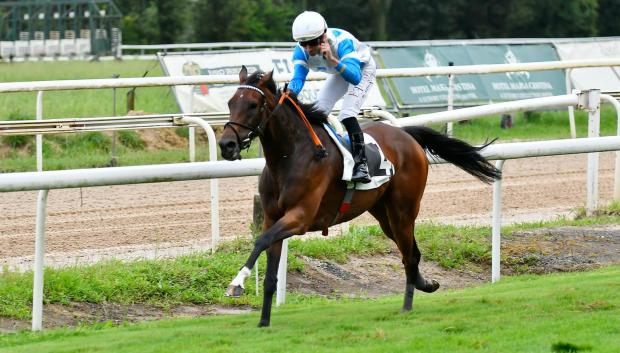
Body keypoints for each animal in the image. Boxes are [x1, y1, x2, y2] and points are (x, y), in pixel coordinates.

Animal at [217, 64, 498, 326]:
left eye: (253, 105)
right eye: (230, 102)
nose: (226, 145)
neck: (290, 157)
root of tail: (405, 134)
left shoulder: (300, 218)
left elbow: (260, 241)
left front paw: (236, 283)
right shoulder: (273, 217)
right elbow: (270, 270)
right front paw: (263, 321)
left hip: (403, 211)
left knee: (409, 255)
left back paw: (407, 306)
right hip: (384, 215)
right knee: (411, 252)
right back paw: (426, 284)